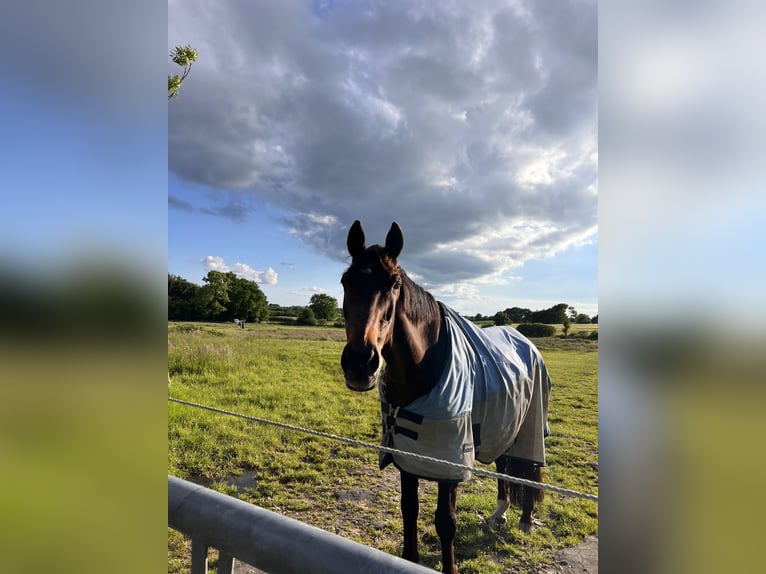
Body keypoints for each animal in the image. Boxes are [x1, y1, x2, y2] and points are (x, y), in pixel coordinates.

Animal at [342, 222, 552, 574]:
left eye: (394, 284)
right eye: (346, 280)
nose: (360, 362)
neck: (423, 367)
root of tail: (526, 341)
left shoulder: (450, 462)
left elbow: (445, 521)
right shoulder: (407, 455)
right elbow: (409, 509)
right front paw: (409, 558)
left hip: (530, 424)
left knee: (527, 467)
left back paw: (524, 519)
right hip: (503, 422)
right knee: (504, 464)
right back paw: (499, 513)